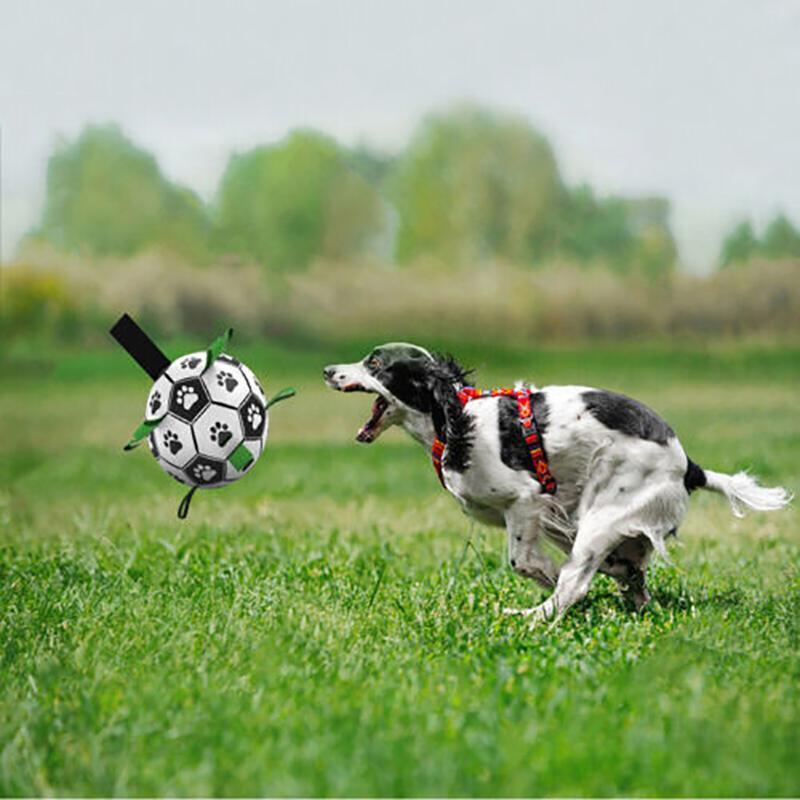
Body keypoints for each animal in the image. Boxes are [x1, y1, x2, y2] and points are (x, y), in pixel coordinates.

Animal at [324, 340, 788, 620]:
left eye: (375, 363)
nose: (328, 369)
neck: (456, 419)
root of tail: (688, 464)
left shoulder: (526, 499)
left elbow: (524, 562)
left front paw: (545, 575)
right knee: (630, 577)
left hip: (600, 516)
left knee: (574, 587)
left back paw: (530, 617)